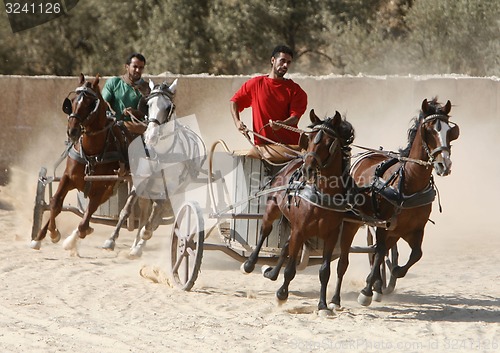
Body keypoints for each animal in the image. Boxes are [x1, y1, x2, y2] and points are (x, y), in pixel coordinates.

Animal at [29, 73, 129, 252]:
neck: (92, 151)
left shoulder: (103, 186)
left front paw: (74, 236)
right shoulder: (68, 177)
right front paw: (49, 233)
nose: (72, 131)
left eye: (90, 104)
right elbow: (55, 203)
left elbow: (88, 214)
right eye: (72, 101)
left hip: (113, 187)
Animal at [243, 110, 354, 314]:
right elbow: (290, 269)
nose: (307, 168)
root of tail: (292, 161)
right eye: (308, 138)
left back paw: (272, 273)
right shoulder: (300, 230)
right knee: (265, 231)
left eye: (329, 142)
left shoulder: (330, 235)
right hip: (273, 208)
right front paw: (281, 295)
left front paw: (323, 305)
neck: (321, 195)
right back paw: (249, 264)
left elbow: (324, 271)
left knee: (286, 246)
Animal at [332, 97, 460, 306]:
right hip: (362, 222)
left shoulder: (415, 228)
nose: (444, 164)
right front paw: (366, 291)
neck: (409, 182)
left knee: (380, 252)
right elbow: (380, 251)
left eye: (451, 132)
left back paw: (379, 284)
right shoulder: (384, 225)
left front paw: (394, 271)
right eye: (429, 130)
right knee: (368, 252)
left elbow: (416, 254)